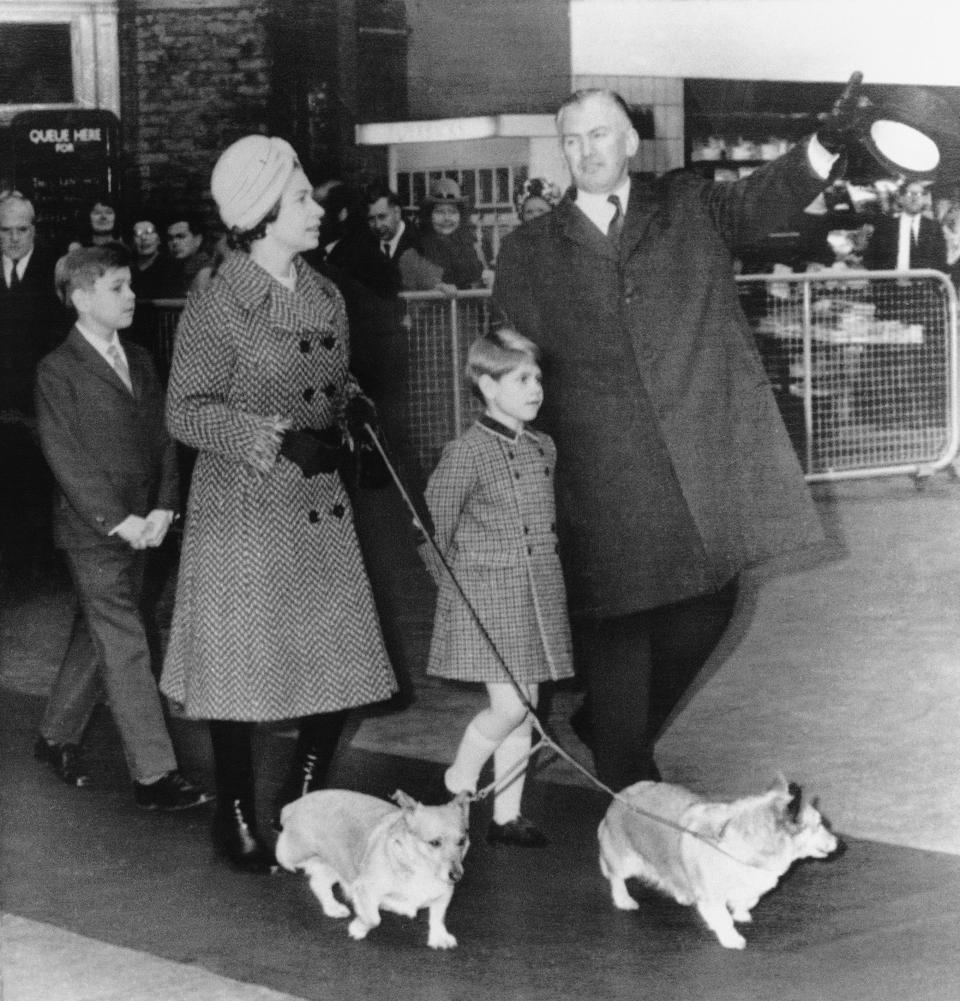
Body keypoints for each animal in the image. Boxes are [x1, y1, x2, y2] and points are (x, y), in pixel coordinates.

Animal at [274, 788, 468, 944]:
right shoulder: (365, 889)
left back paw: (333, 907)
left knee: (319, 883)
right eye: (434, 843)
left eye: (462, 841)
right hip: (297, 855)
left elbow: (438, 917)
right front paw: (358, 928)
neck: (421, 871)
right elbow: (374, 919)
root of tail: (293, 805)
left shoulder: (445, 894)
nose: (457, 876)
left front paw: (439, 938)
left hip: (339, 865)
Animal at [596, 776, 836, 948]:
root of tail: (620, 795)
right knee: (616, 877)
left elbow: (748, 900)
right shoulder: (712, 897)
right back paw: (624, 900)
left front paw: (741, 913)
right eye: (818, 825)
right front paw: (732, 939)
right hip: (627, 860)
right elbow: (723, 919)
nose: (839, 842)